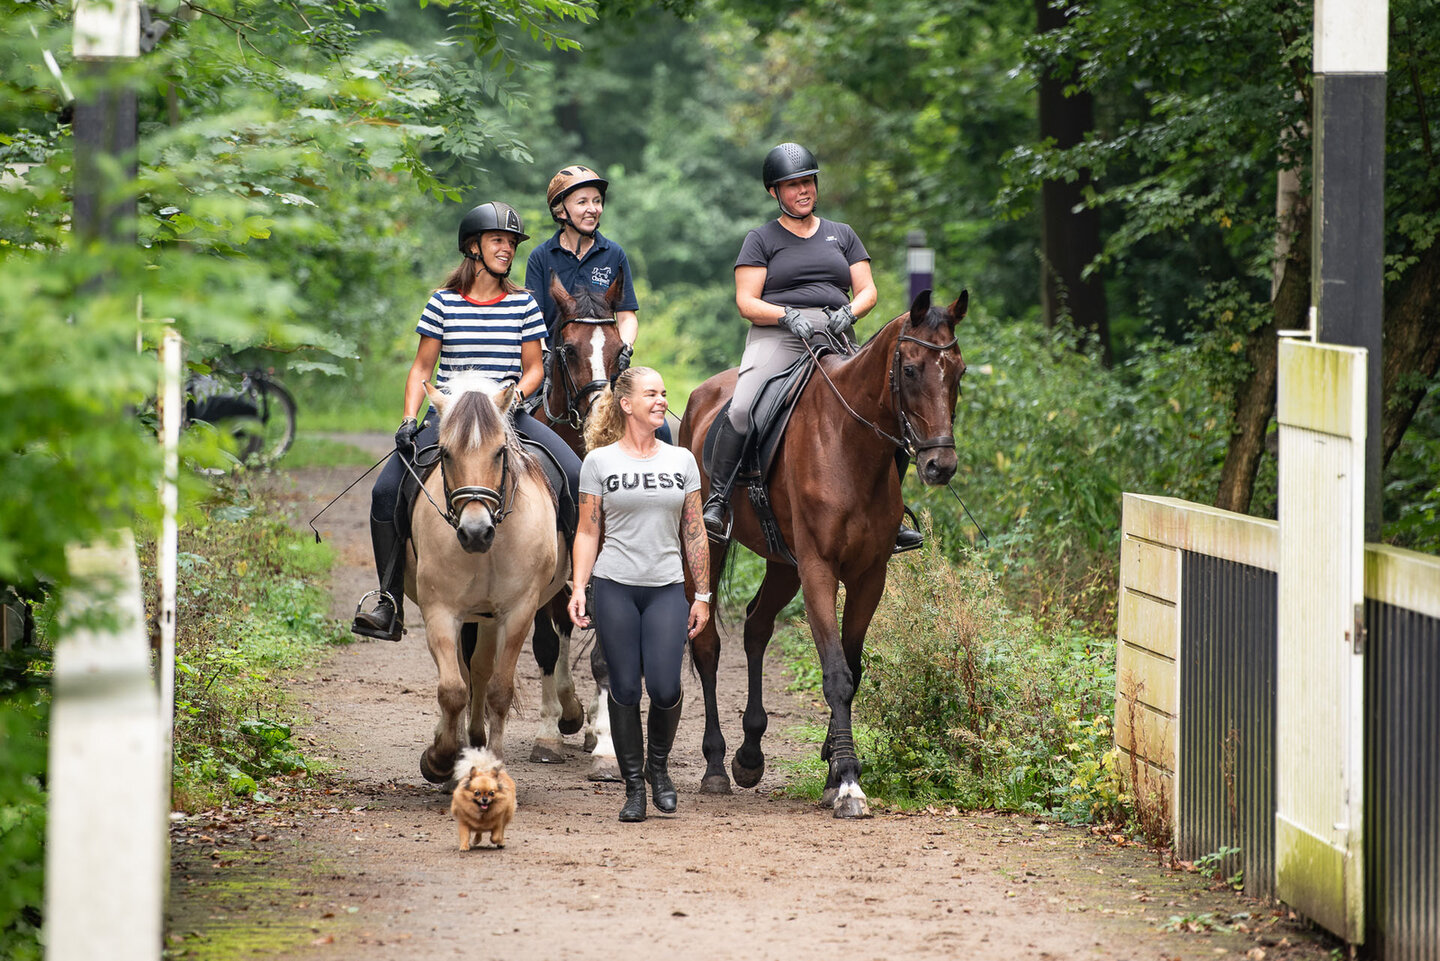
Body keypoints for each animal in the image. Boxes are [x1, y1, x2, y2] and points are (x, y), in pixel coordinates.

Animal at [408, 371, 570, 783]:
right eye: (445, 453)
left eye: (499, 452)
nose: (475, 532)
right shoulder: (440, 609)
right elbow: (452, 689)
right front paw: (440, 758)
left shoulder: (519, 611)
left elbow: (499, 688)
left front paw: (491, 762)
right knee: (464, 674)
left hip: (490, 615)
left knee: (479, 669)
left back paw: (477, 741)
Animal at [673, 288, 967, 818]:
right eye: (911, 369)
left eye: (959, 371)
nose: (941, 465)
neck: (850, 444)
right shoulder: (818, 571)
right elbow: (835, 674)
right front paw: (847, 781)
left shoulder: (870, 575)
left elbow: (854, 667)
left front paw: (834, 765)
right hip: (711, 546)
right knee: (707, 643)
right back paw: (715, 766)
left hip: (782, 563)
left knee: (756, 625)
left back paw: (750, 756)